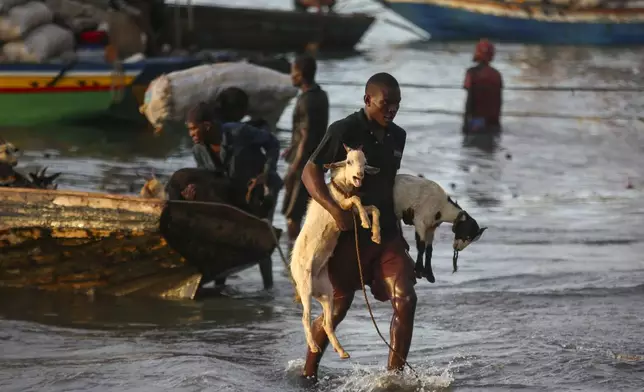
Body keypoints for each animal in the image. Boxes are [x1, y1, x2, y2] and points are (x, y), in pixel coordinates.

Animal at [292, 144, 382, 358]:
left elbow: (374, 208)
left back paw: (341, 351)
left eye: (365, 163)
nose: (359, 175)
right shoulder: (340, 206)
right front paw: (365, 223)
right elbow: (357, 199)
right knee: (305, 318)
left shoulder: (350, 208)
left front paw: (375, 234)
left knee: (326, 323)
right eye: (348, 161)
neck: (340, 188)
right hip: (305, 287)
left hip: (326, 292)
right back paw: (314, 346)